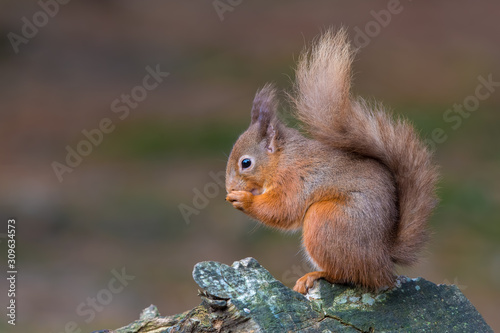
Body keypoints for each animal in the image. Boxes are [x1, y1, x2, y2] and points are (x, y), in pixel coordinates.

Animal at [224, 29, 438, 294]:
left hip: (325, 220)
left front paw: (244, 200)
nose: (229, 188)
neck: (284, 159)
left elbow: (283, 209)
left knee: (345, 274)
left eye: (246, 163)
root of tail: (382, 261)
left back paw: (315, 275)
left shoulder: (295, 179)